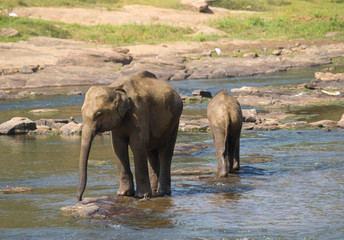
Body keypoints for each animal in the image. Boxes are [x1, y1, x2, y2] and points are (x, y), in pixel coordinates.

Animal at [77, 71, 183, 201]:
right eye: (81, 112)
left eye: (99, 114)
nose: (80, 199)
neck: (114, 88)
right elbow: (118, 147)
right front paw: (124, 194)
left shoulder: (138, 112)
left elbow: (137, 144)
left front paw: (141, 196)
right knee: (151, 152)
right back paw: (154, 190)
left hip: (174, 120)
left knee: (166, 151)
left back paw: (163, 192)